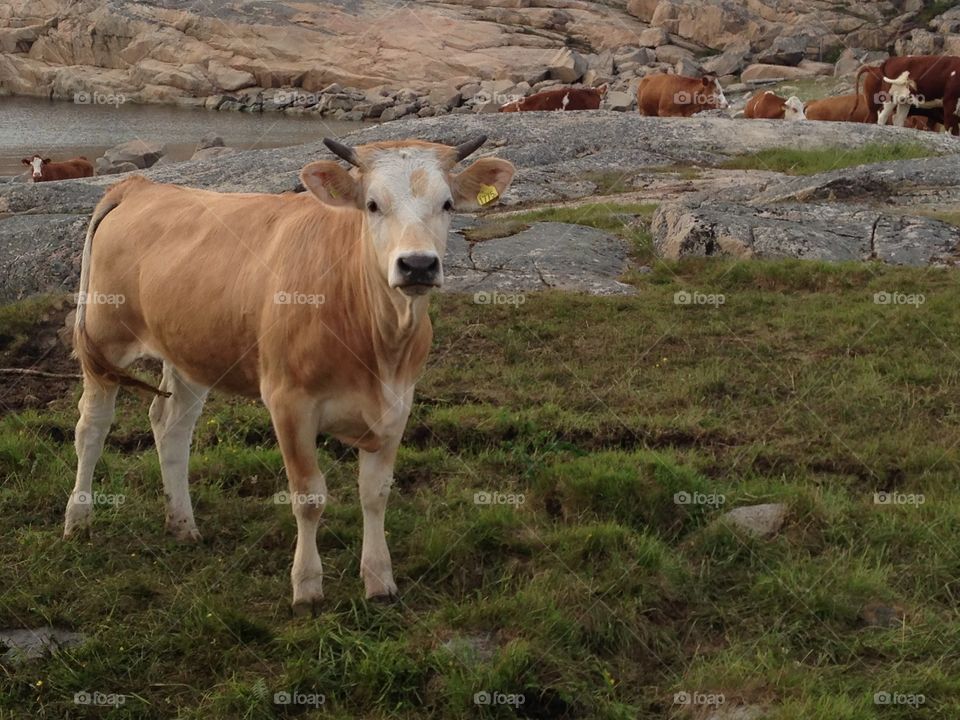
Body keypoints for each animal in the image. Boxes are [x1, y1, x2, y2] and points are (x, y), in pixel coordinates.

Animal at [66, 135, 516, 612]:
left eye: (447, 204)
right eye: (372, 204)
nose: (417, 265)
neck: (375, 342)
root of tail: (141, 186)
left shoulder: (398, 404)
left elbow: (375, 493)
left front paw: (379, 581)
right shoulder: (289, 402)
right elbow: (309, 496)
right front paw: (307, 587)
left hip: (190, 349)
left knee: (171, 426)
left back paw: (183, 524)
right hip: (105, 341)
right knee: (91, 428)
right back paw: (78, 519)